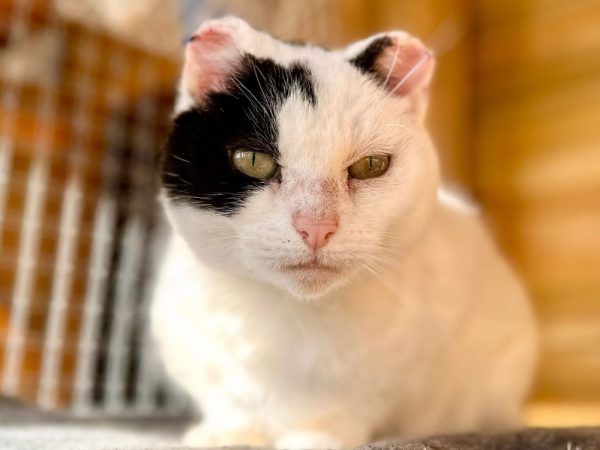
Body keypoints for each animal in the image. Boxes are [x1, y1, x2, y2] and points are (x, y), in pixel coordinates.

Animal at [151, 17, 537, 449]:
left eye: (371, 165)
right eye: (252, 159)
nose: (316, 226)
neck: (289, 320)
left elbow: (340, 409)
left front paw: (315, 436)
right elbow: (231, 399)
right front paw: (232, 434)